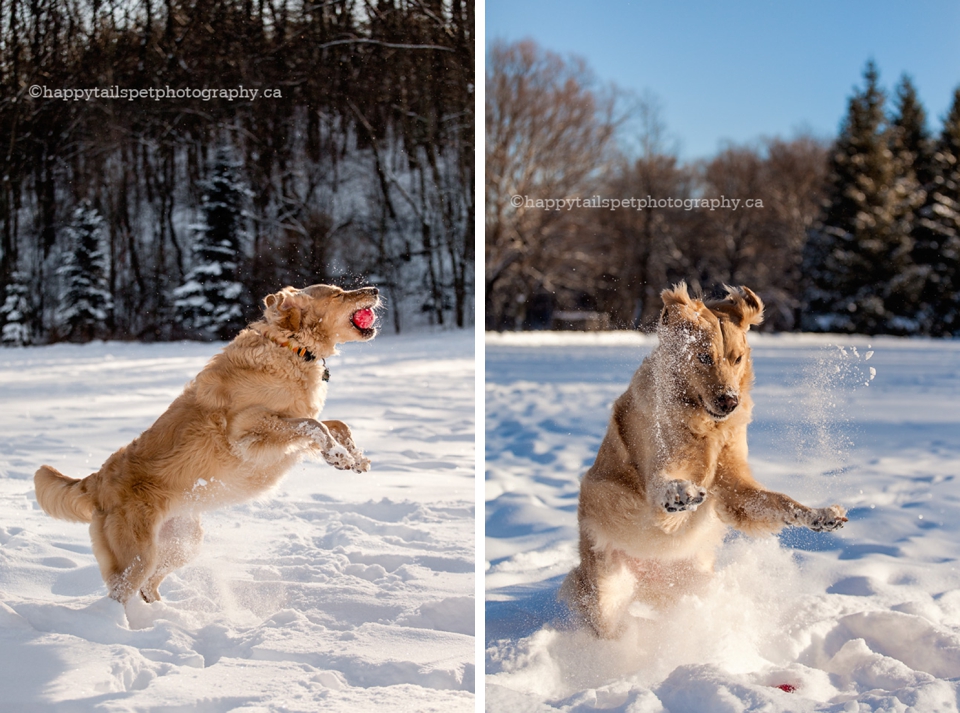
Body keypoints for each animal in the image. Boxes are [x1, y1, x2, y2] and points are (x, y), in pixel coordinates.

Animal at [33, 280, 378, 604]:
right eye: (337, 294)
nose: (374, 289)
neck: (290, 348)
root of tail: (97, 480)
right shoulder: (246, 432)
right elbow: (315, 425)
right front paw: (337, 455)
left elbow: (337, 424)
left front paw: (354, 458)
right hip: (137, 555)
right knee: (120, 594)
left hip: (182, 543)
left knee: (148, 587)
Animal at [564, 280, 848, 636]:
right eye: (703, 357)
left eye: (736, 358)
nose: (730, 401)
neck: (704, 425)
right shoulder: (656, 473)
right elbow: (665, 487)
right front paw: (681, 495)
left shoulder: (734, 487)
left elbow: (779, 501)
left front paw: (820, 515)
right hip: (607, 592)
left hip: (696, 582)